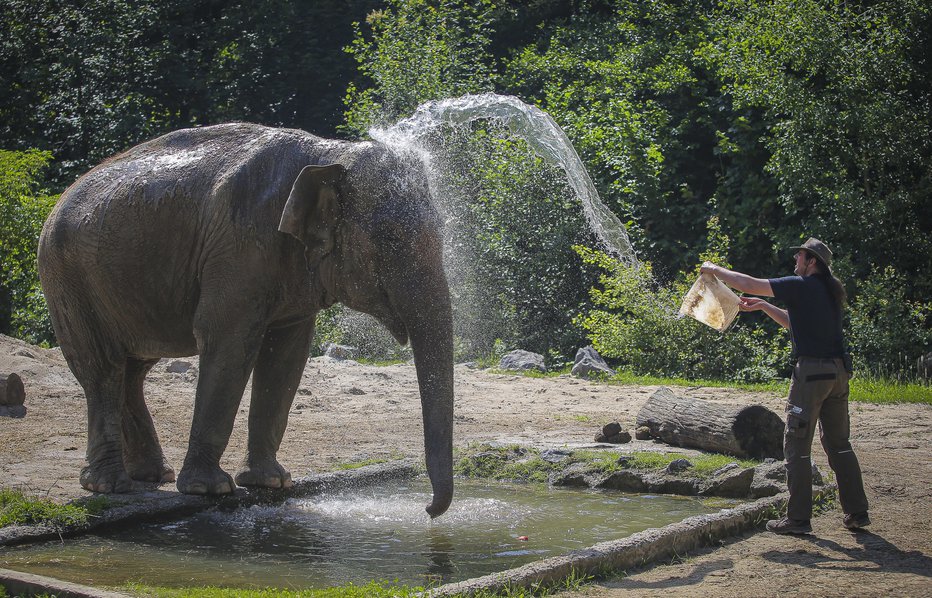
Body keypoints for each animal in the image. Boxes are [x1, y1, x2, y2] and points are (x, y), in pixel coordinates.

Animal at [38, 123, 454, 520]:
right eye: (389, 236)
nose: (428, 510)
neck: (329, 154)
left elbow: (286, 355)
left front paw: (272, 482)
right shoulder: (238, 247)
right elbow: (228, 341)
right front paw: (211, 490)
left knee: (133, 370)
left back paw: (153, 475)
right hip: (68, 278)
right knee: (102, 368)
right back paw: (109, 486)